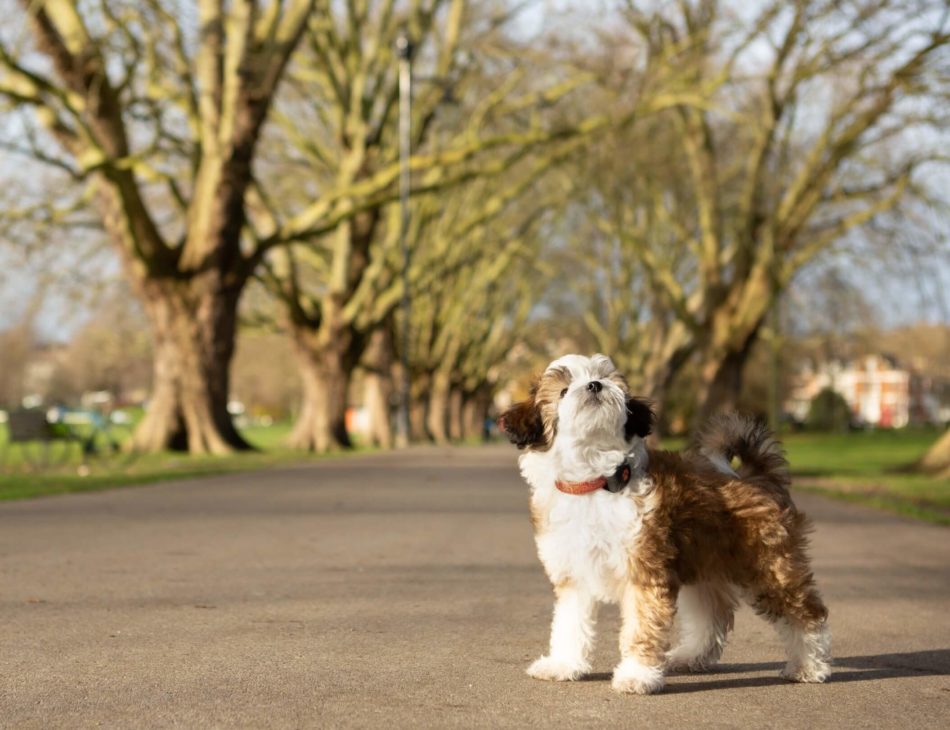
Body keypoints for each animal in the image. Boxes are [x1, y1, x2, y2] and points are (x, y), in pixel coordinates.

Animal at [502, 352, 828, 692]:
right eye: (564, 391)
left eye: (602, 377)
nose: (594, 386)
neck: (596, 480)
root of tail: (757, 477)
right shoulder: (573, 575)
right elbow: (569, 623)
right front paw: (564, 664)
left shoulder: (644, 571)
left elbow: (641, 627)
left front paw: (637, 675)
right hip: (705, 562)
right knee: (712, 614)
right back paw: (691, 656)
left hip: (768, 564)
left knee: (805, 613)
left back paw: (809, 666)